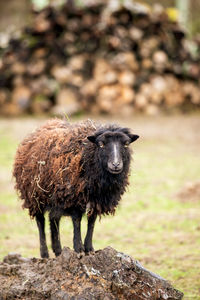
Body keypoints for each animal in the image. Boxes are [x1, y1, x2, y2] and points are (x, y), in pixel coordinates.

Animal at [13, 119, 139, 258]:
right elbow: (77, 222)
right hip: (35, 196)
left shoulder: (96, 201)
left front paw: (89, 248)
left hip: (55, 197)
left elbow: (91, 222)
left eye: (126, 144)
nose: (116, 164)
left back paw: (58, 250)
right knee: (41, 221)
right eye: (101, 144)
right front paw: (78, 249)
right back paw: (45, 253)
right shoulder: (74, 198)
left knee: (53, 219)